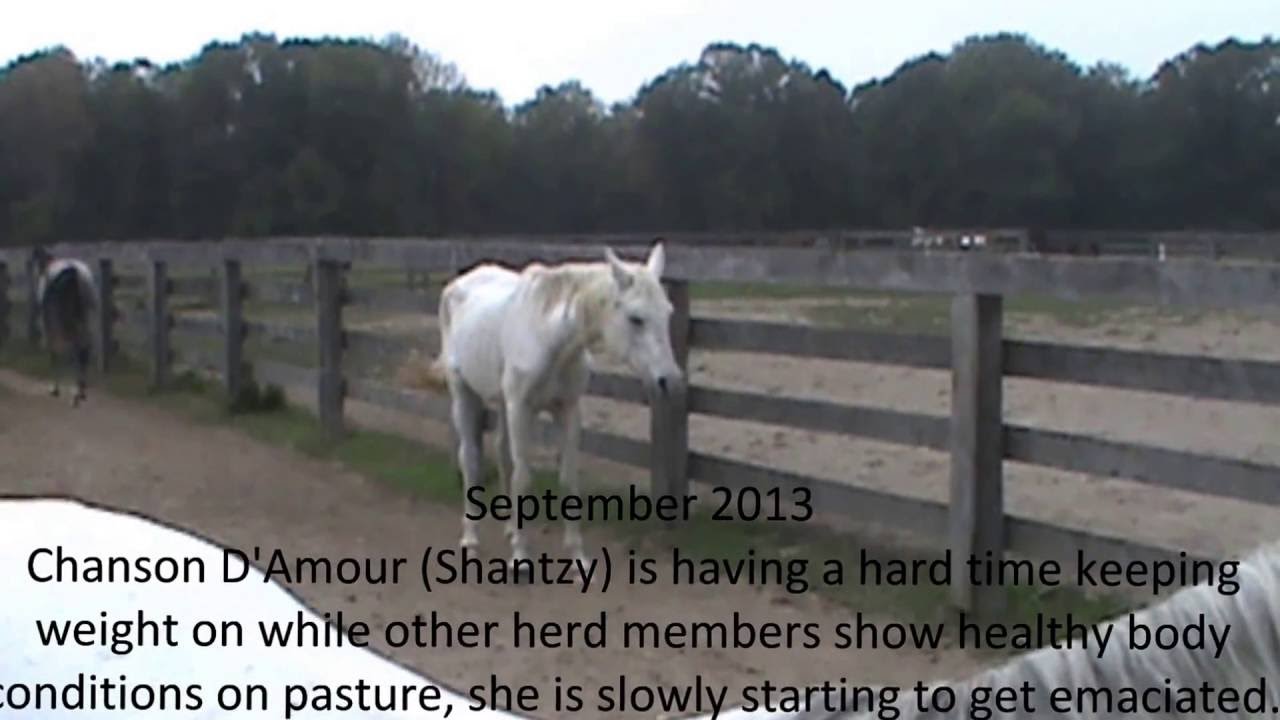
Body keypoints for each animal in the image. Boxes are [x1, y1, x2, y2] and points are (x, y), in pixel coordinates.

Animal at [30, 247, 99, 406]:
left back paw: (76, 394)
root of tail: (74, 273)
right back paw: (81, 391)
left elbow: (54, 351)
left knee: (75, 348)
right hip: (87, 315)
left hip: (66, 318)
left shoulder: (49, 324)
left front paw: (55, 389)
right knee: (85, 348)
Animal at [397, 241, 683, 575]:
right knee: (470, 459)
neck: (550, 338)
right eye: (636, 318)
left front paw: (577, 558)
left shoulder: (568, 410)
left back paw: (509, 528)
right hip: (464, 394)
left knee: (503, 456)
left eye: (667, 313)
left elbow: (568, 479)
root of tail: (458, 284)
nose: (670, 381)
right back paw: (470, 538)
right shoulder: (521, 409)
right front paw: (520, 558)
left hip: (503, 403)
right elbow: (524, 478)